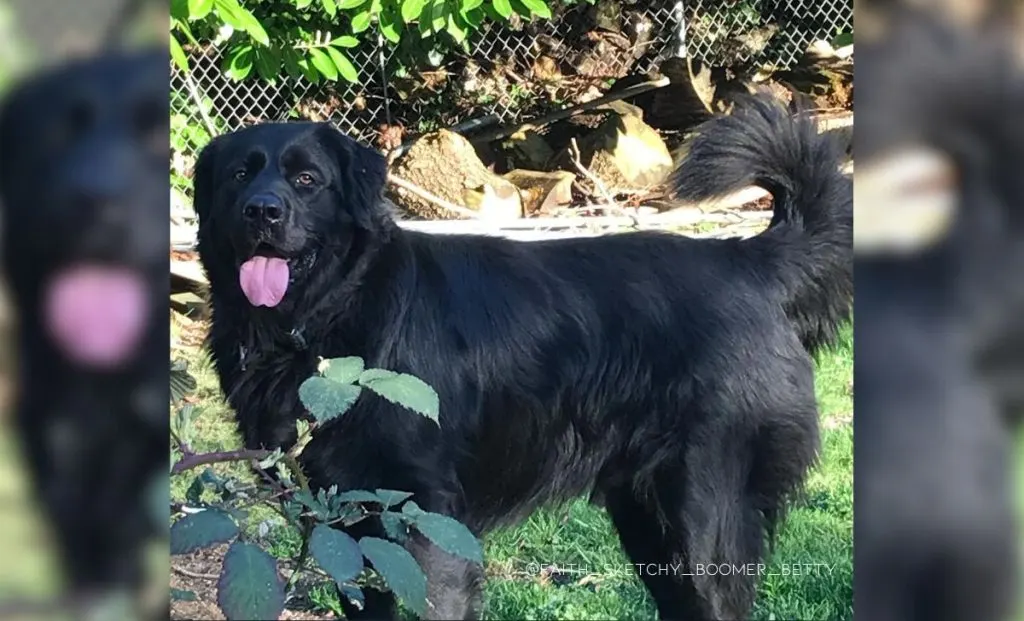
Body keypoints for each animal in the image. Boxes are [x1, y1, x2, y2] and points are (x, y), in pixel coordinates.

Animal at [195, 94, 851, 618]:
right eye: (238, 176)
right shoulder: (345, 523)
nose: (262, 211)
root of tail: (749, 259)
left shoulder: (427, 518)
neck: (328, 318)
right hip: (648, 522)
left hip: (703, 516)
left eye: (308, 181)